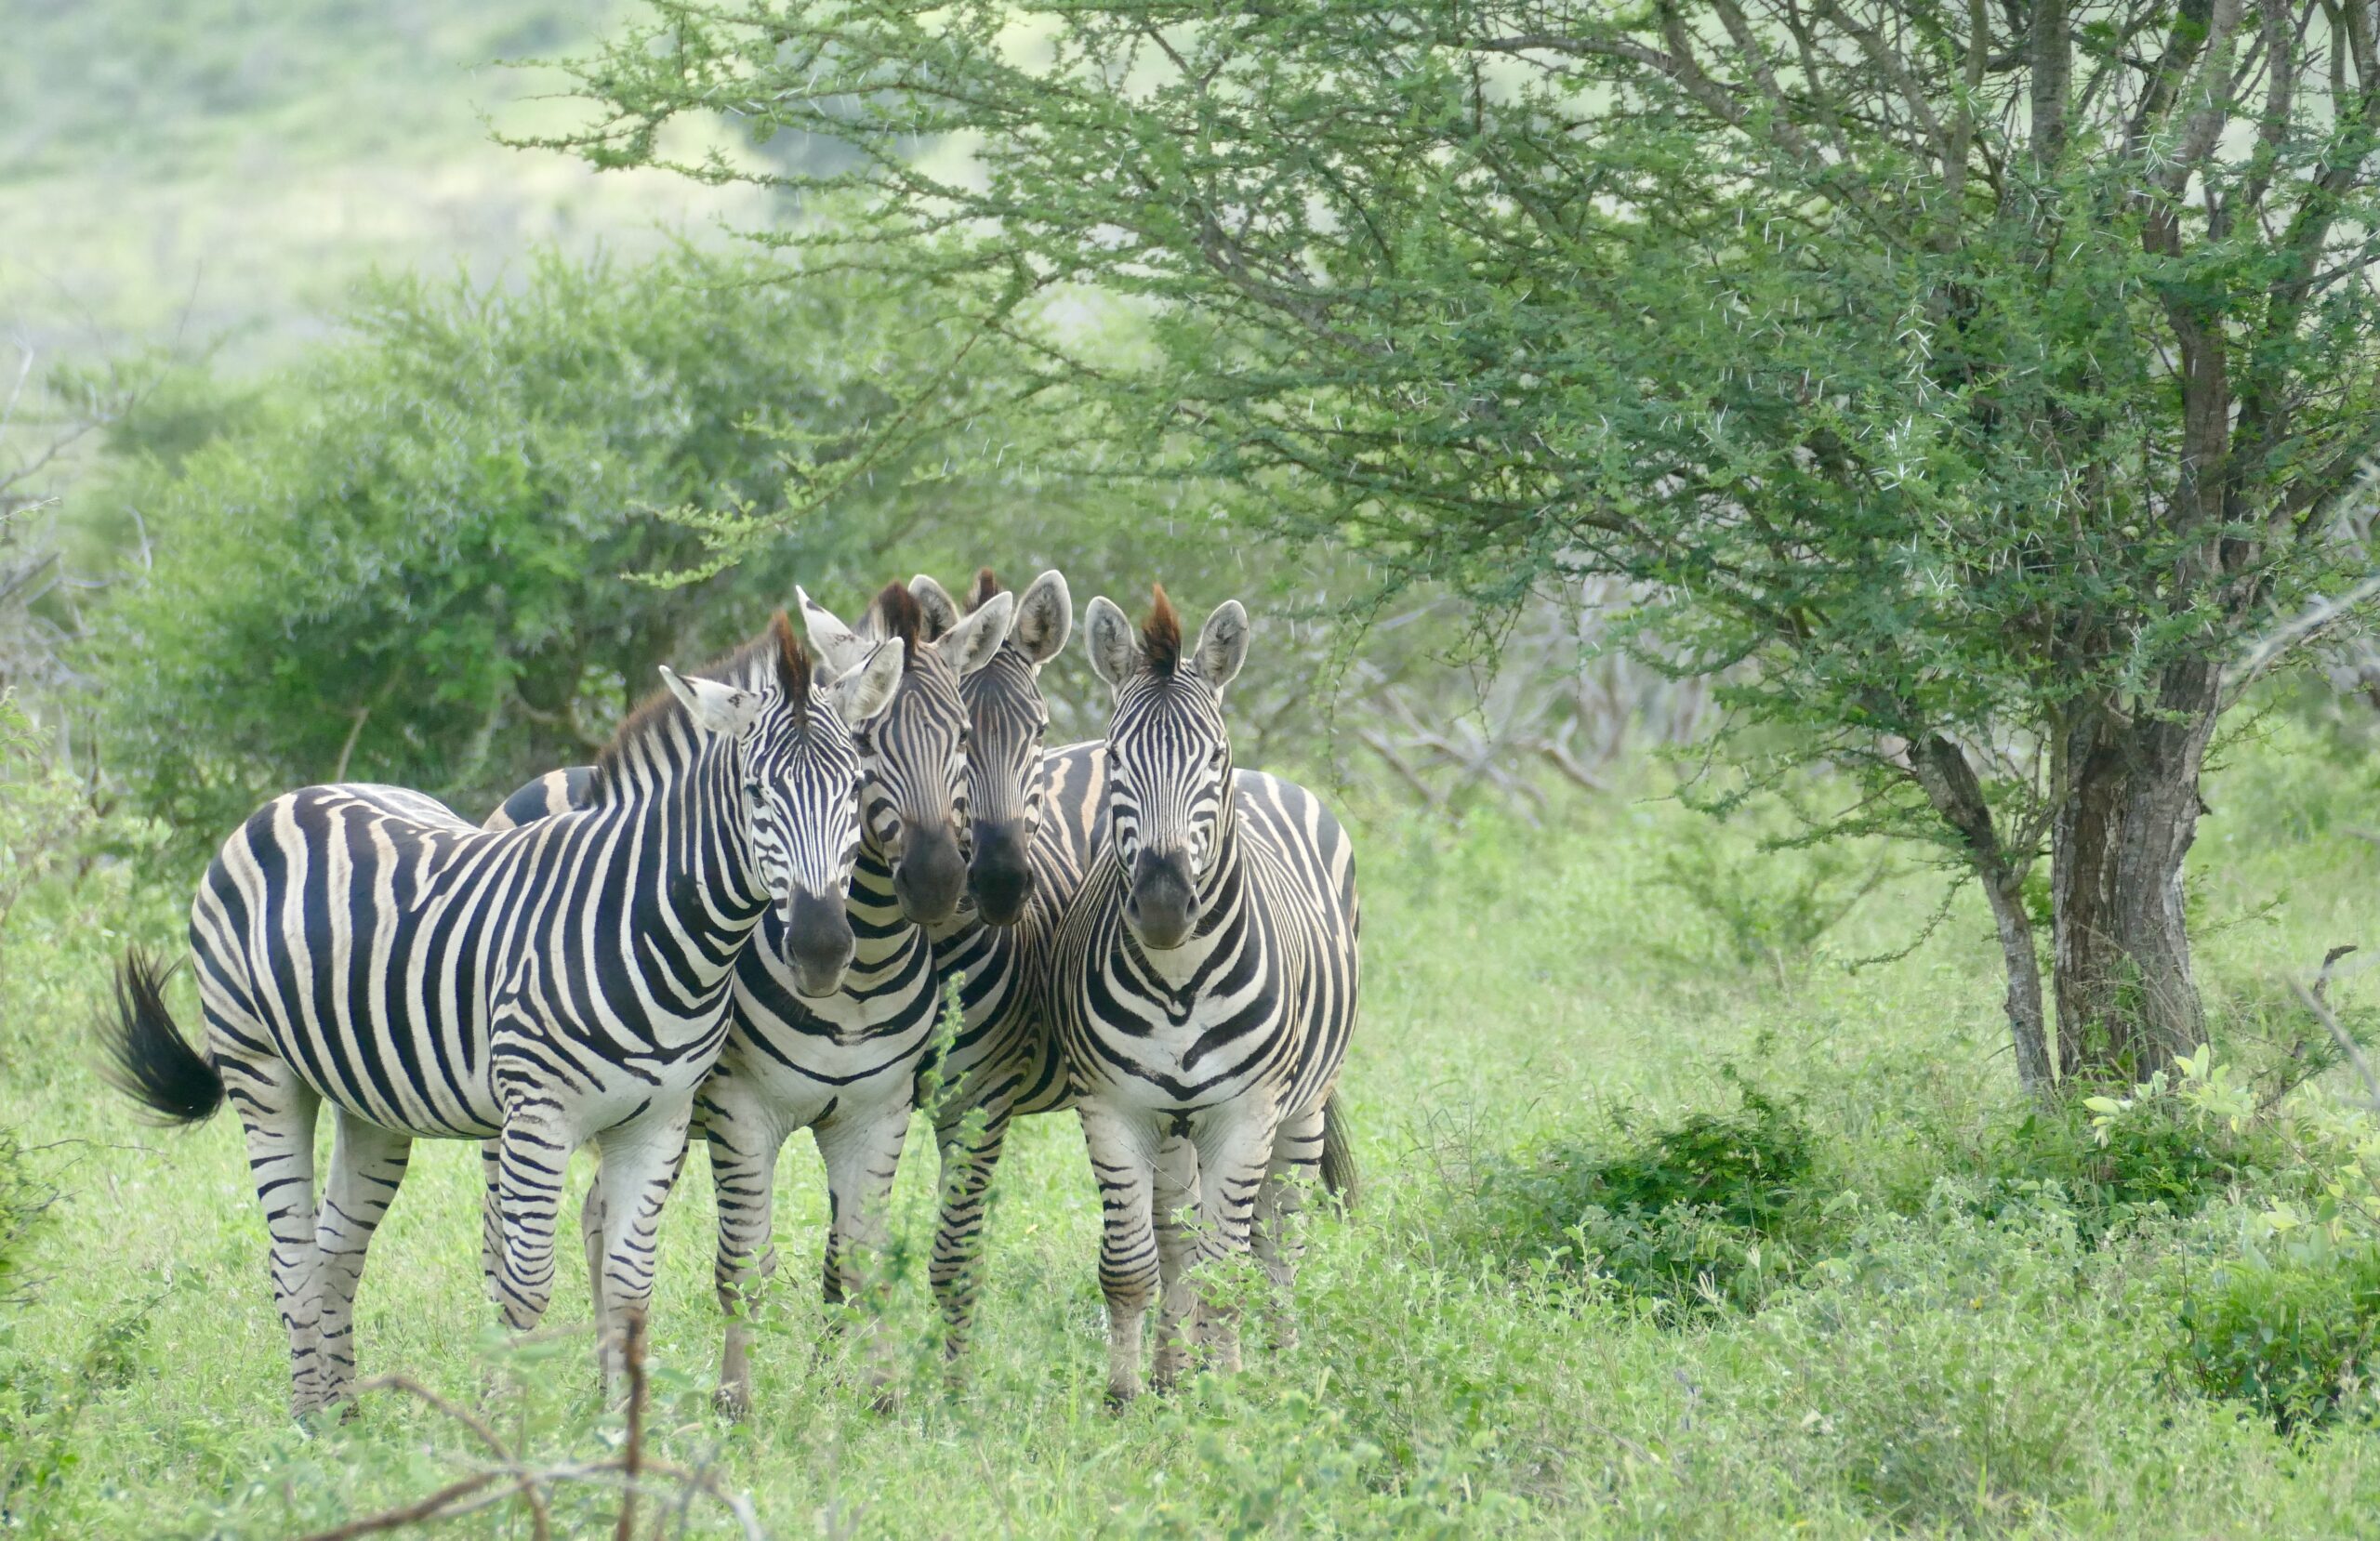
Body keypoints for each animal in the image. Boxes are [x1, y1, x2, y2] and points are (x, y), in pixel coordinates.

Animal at [95, 613, 899, 1416]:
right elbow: (524, 1288)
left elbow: (629, 1289)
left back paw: (345, 1415)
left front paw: (622, 1426)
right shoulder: (540, 1117)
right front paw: (507, 1425)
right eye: (757, 791)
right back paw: (307, 1423)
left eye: (856, 786)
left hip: (371, 1101)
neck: (649, 925)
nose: (822, 947)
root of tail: (295, 796)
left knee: (336, 1251)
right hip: (261, 1070)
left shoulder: (659, 1121)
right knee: (291, 1261)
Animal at [478, 580, 1009, 1416]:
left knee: (596, 1215)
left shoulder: (877, 1110)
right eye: (868, 747)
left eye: (961, 737)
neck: (857, 982)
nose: (934, 883)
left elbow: (862, 1260)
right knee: (503, 1243)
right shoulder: (739, 1110)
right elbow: (744, 1267)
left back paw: (604, 1380)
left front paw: (880, 1397)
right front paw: (736, 1400)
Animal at [1056, 589, 1361, 1407]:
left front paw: (1226, 1401)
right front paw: (1125, 1396)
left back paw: (1279, 1364)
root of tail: (1267, 775)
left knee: (1278, 1238)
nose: (1164, 905)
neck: (1178, 982)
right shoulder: (1114, 1111)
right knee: (1176, 1238)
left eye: (1212, 759)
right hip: (1172, 1130)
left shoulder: (1246, 1114)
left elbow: (1230, 1272)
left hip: (1302, 1109)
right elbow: (1132, 1267)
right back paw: (1172, 1370)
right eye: (1115, 757)